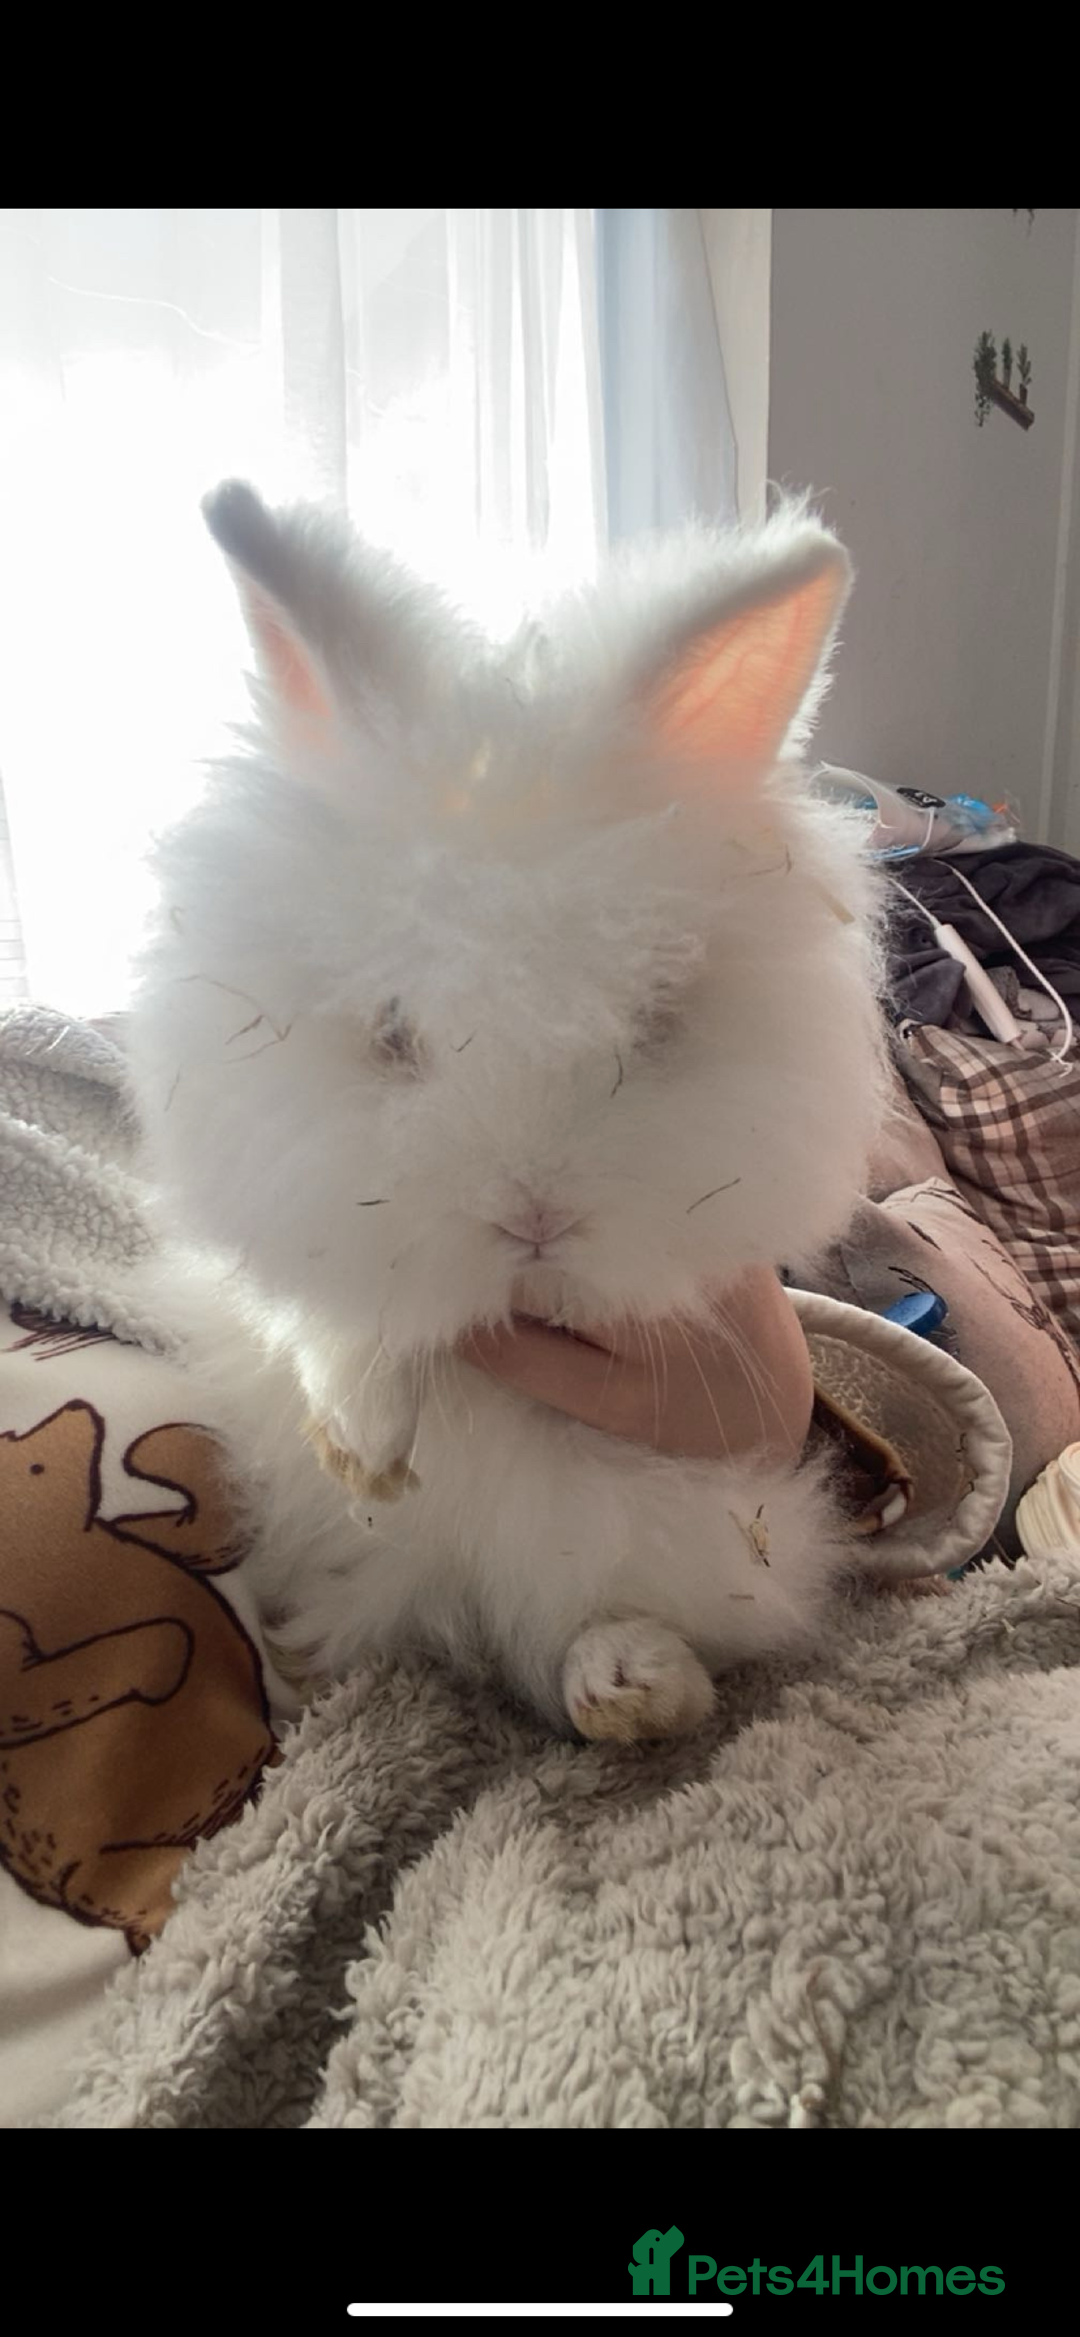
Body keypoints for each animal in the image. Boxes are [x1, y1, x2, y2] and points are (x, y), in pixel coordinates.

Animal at [128, 481, 884, 1742]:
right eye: (394, 1031)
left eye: (651, 1024)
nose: (534, 1222)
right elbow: (336, 1313)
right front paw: (365, 1444)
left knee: (575, 1621)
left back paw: (636, 1688)